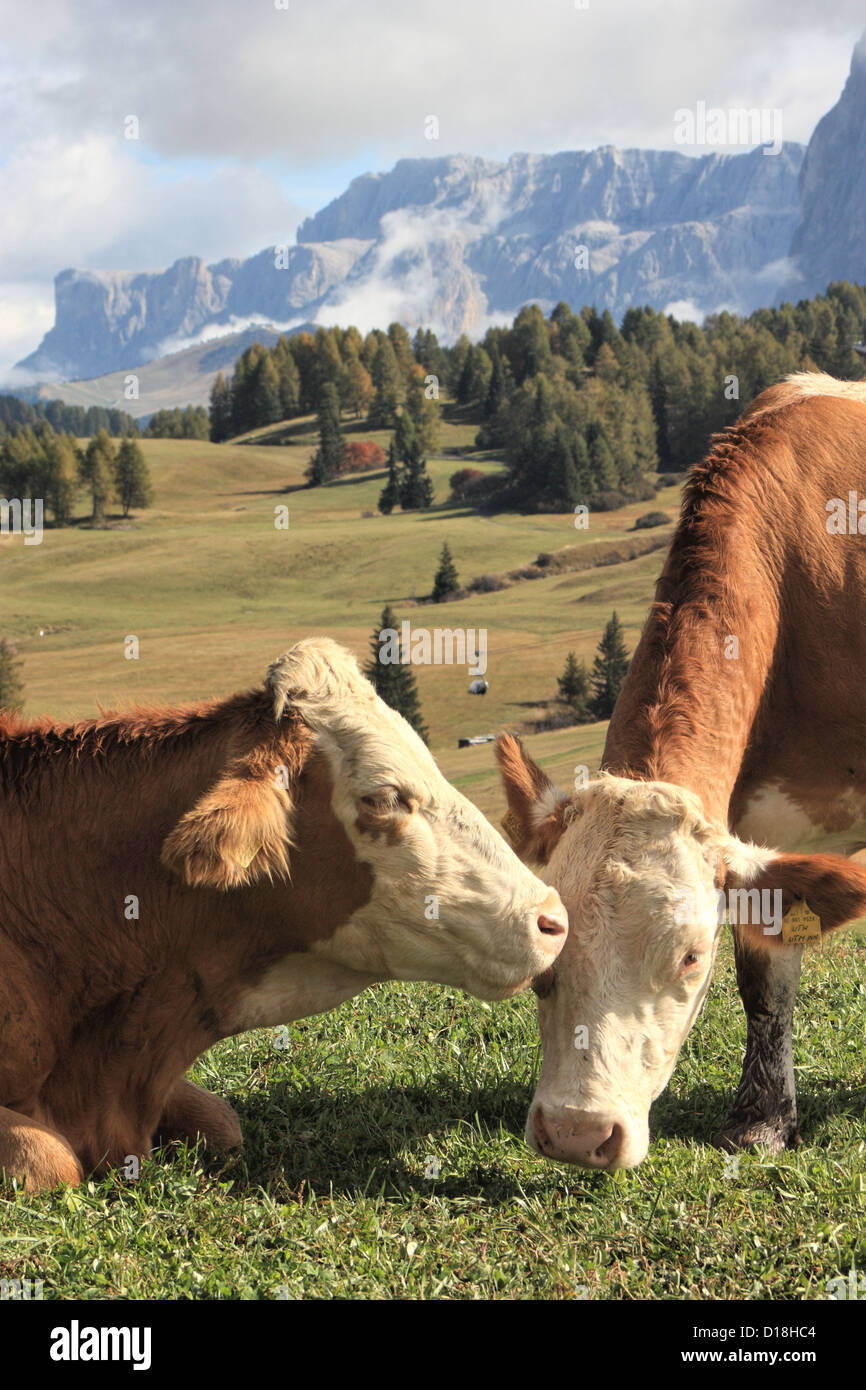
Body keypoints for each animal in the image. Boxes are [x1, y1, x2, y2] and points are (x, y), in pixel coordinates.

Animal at [497, 373, 866, 1169]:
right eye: (547, 943)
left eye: (691, 958)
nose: (578, 1133)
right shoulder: (762, 821)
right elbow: (766, 981)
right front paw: (763, 1119)